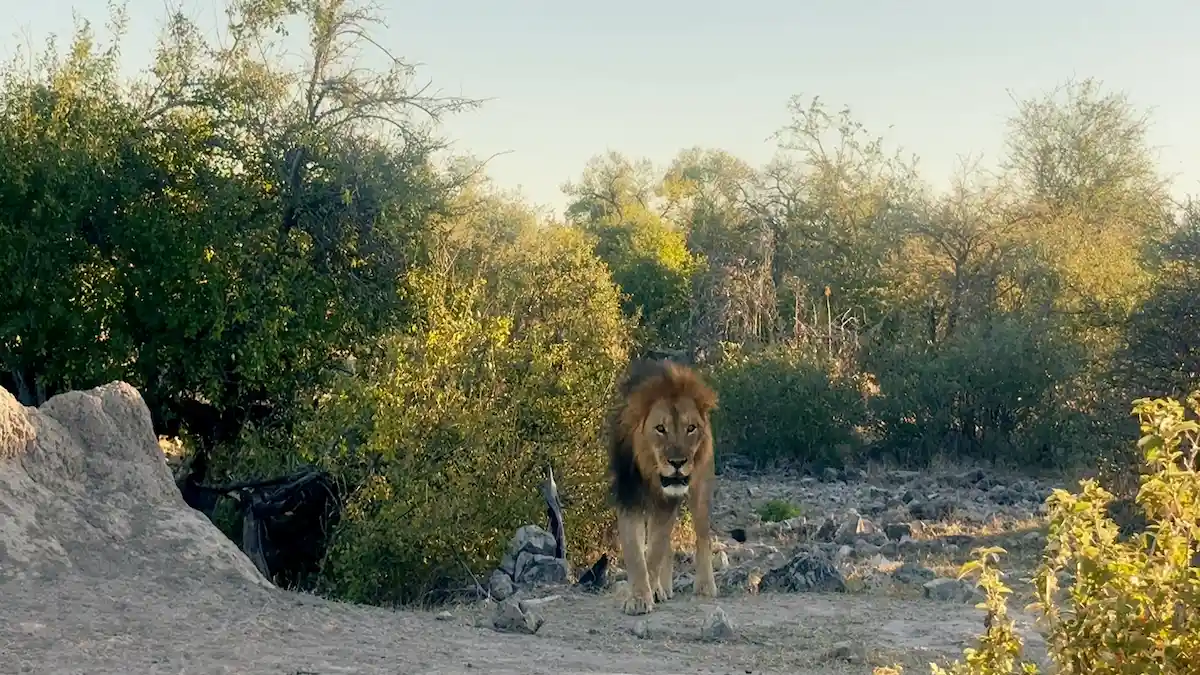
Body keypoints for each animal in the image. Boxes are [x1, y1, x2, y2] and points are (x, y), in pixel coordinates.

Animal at [606, 358, 719, 615]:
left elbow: (656, 549)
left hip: (700, 487)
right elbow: (635, 552)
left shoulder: (667, 502)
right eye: (660, 428)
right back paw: (662, 588)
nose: (678, 463)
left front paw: (646, 593)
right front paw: (639, 597)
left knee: (702, 535)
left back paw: (704, 586)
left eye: (691, 428)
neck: (651, 474)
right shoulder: (629, 498)